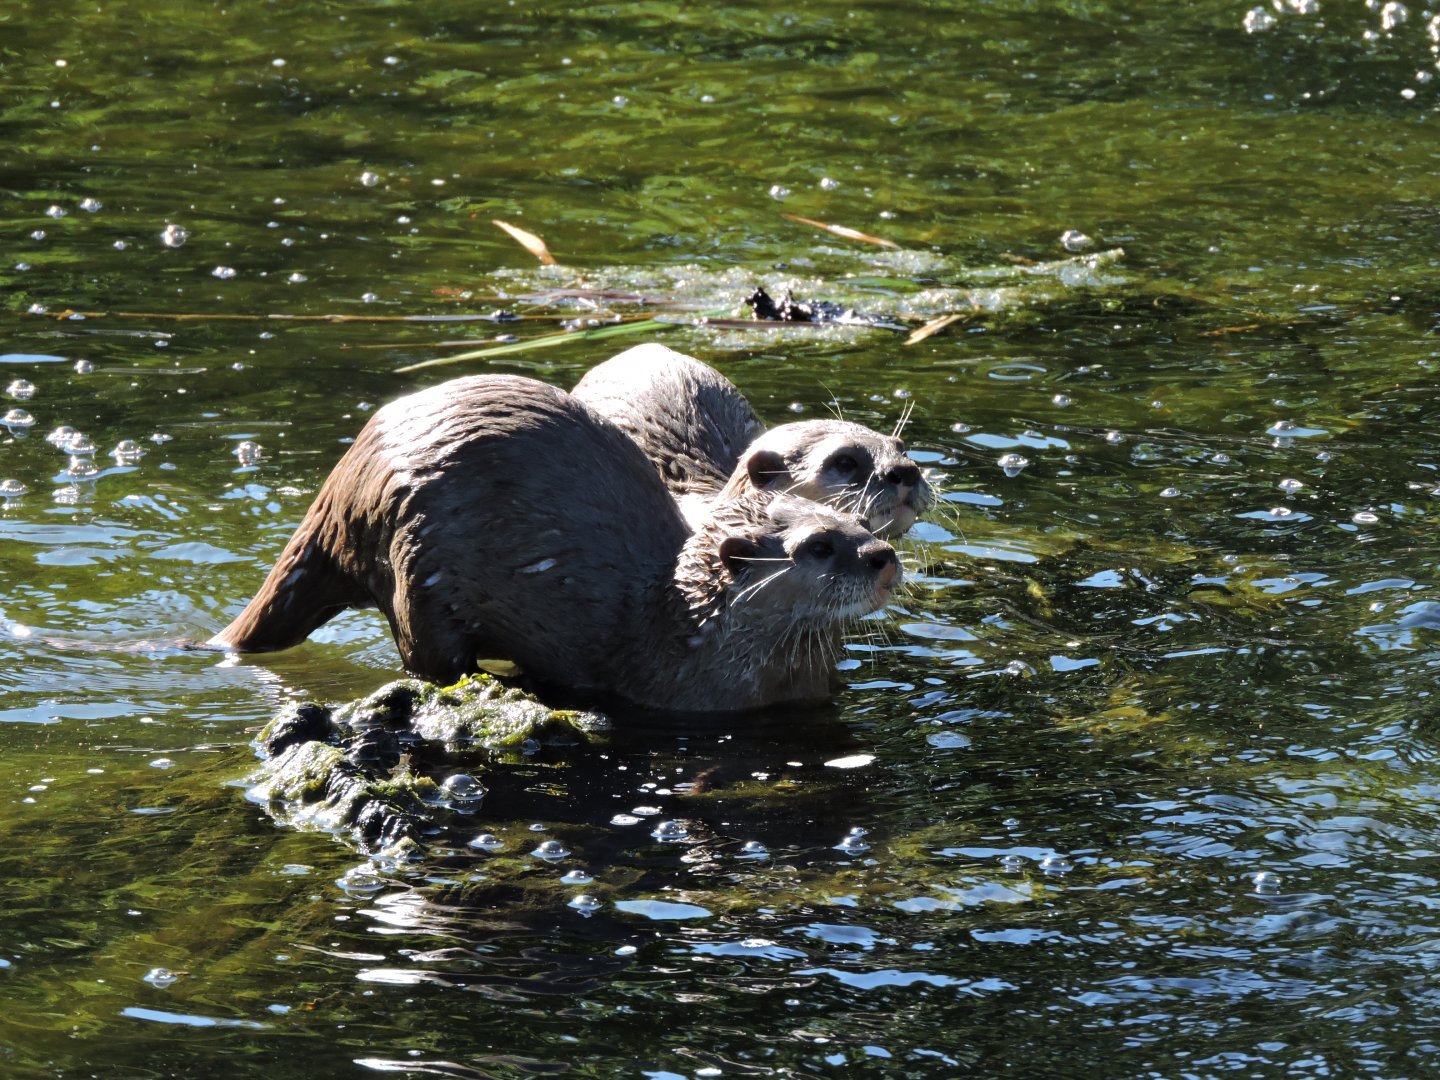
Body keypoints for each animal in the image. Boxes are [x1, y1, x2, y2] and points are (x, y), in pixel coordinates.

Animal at [211, 375, 900, 713]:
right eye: (819, 546)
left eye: (865, 530)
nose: (881, 558)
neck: (683, 635)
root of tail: (345, 484)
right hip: (414, 565)